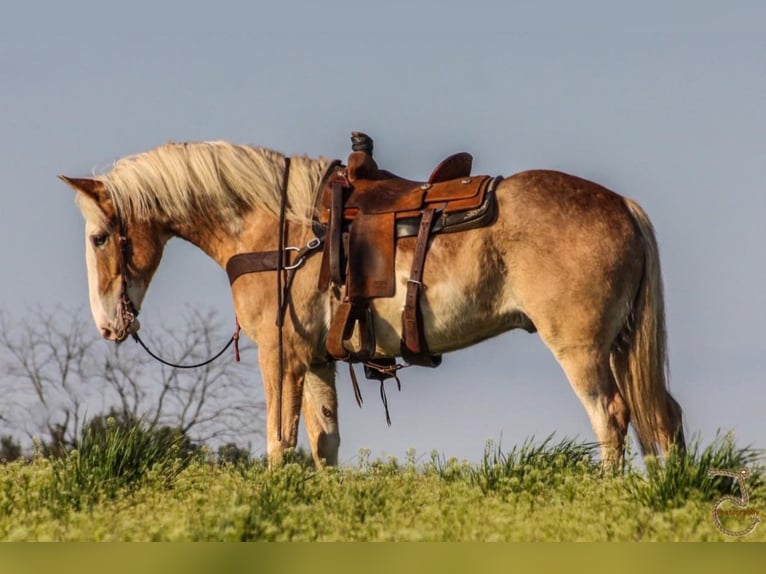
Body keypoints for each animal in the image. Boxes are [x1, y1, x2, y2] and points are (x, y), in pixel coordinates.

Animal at [58, 138, 684, 468]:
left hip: (581, 351)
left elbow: (279, 442)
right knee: (663, 417)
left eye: (98, 238)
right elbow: (323, 443)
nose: (108, 326)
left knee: (612, 417)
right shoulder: (316, 362)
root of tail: (623, 206)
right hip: (620, 348)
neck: (277, 229)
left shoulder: (279, 358)